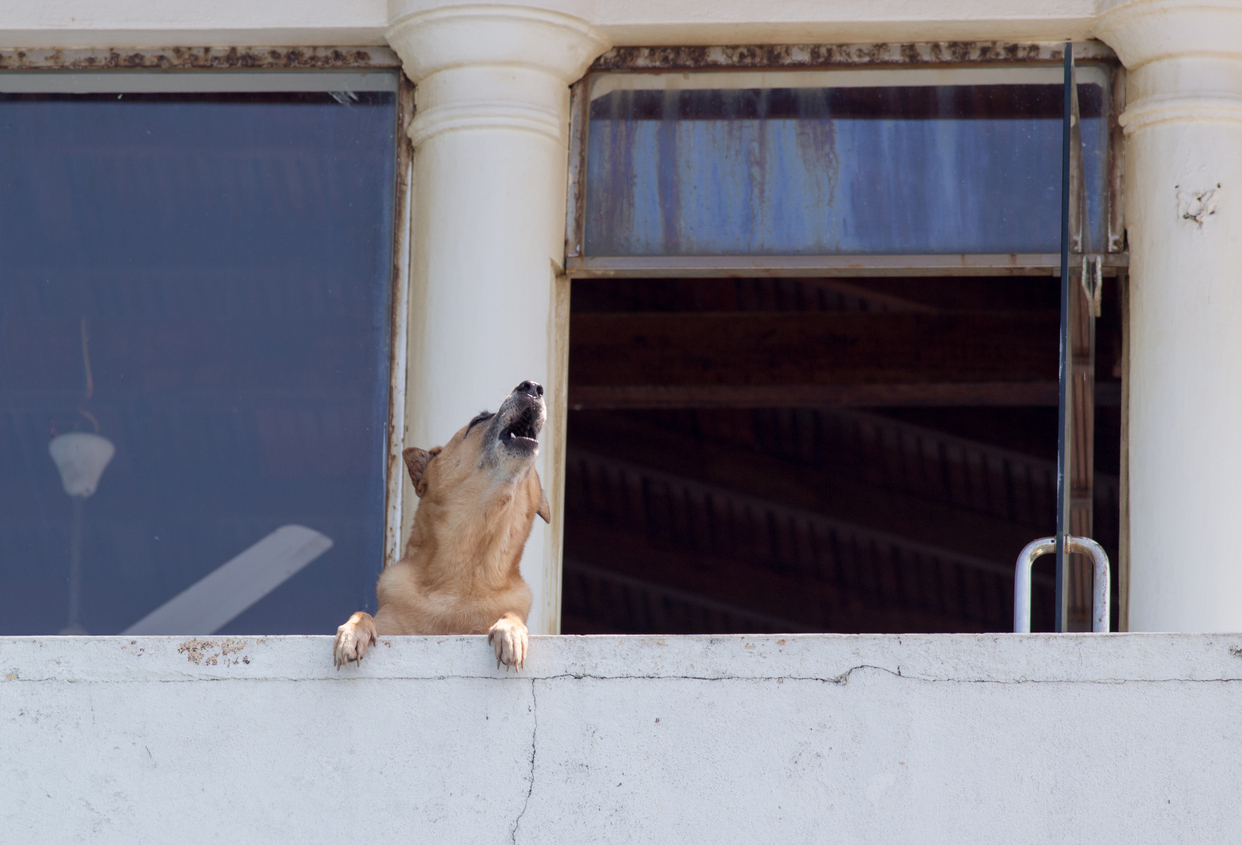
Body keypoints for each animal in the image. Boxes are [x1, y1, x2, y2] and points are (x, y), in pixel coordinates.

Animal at [330, 380, 548, 671]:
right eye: (478, 420)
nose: (532, 386)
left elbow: (510, 613)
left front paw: (510, 631)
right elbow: (363, 614)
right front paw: (352, 632)